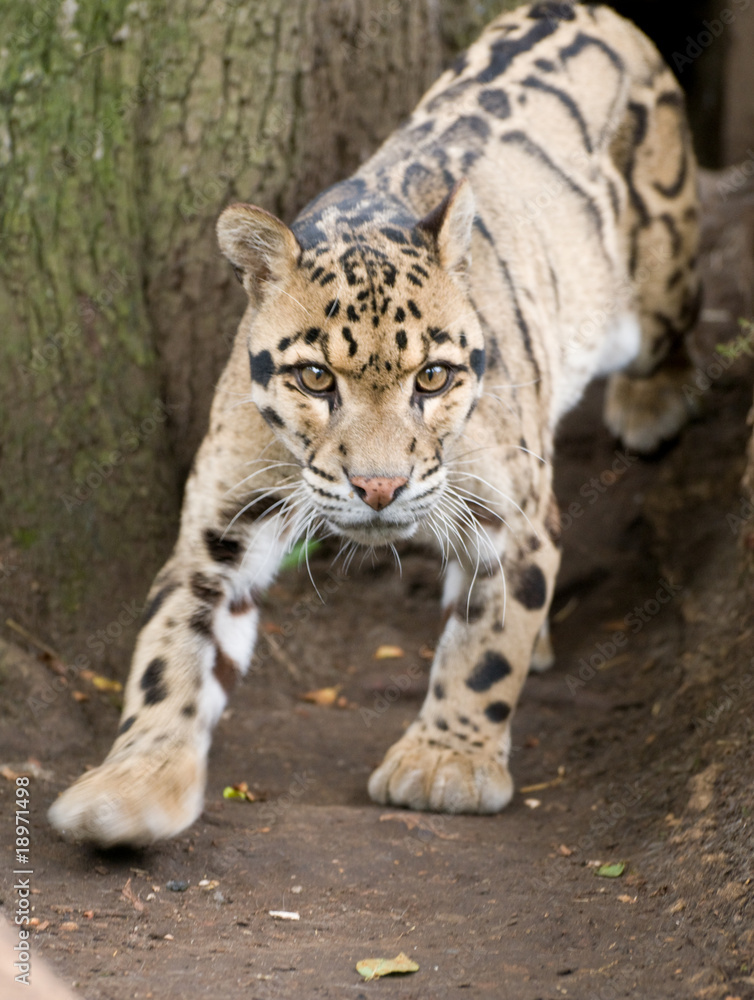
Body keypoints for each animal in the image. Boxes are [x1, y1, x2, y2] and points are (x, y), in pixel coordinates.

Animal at [49, 0, 700, 846]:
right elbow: (170, 651)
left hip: (657, 272)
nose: (380, 487)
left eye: (434, 377)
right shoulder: (216, 529)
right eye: (316, 378)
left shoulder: (516, 511)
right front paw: (133, 781)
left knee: (677, 320)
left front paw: (446, 763)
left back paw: (653, 401)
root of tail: (584, 8)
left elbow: (487, 645)